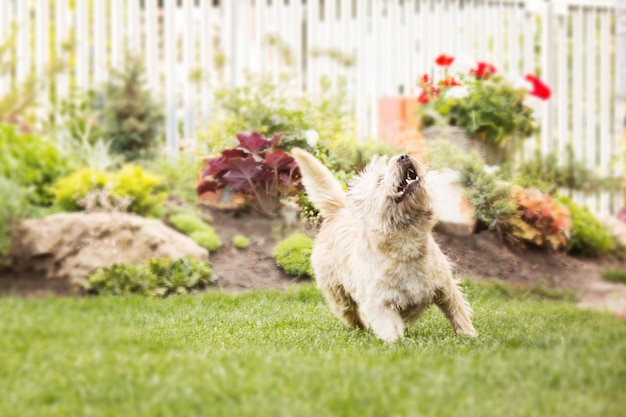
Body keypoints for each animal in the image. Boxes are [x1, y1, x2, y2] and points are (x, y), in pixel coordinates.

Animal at [290, 148, 476, 340]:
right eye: (379, 180)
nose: (404, 156)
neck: (407, 244)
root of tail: (339, 211)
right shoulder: (381, 304)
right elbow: (390, 328)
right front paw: (396, 342)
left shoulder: (446, 288)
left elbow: (458, 312)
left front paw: (470, 335)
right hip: (337, 292)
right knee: (348, 312)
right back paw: (362, 327)